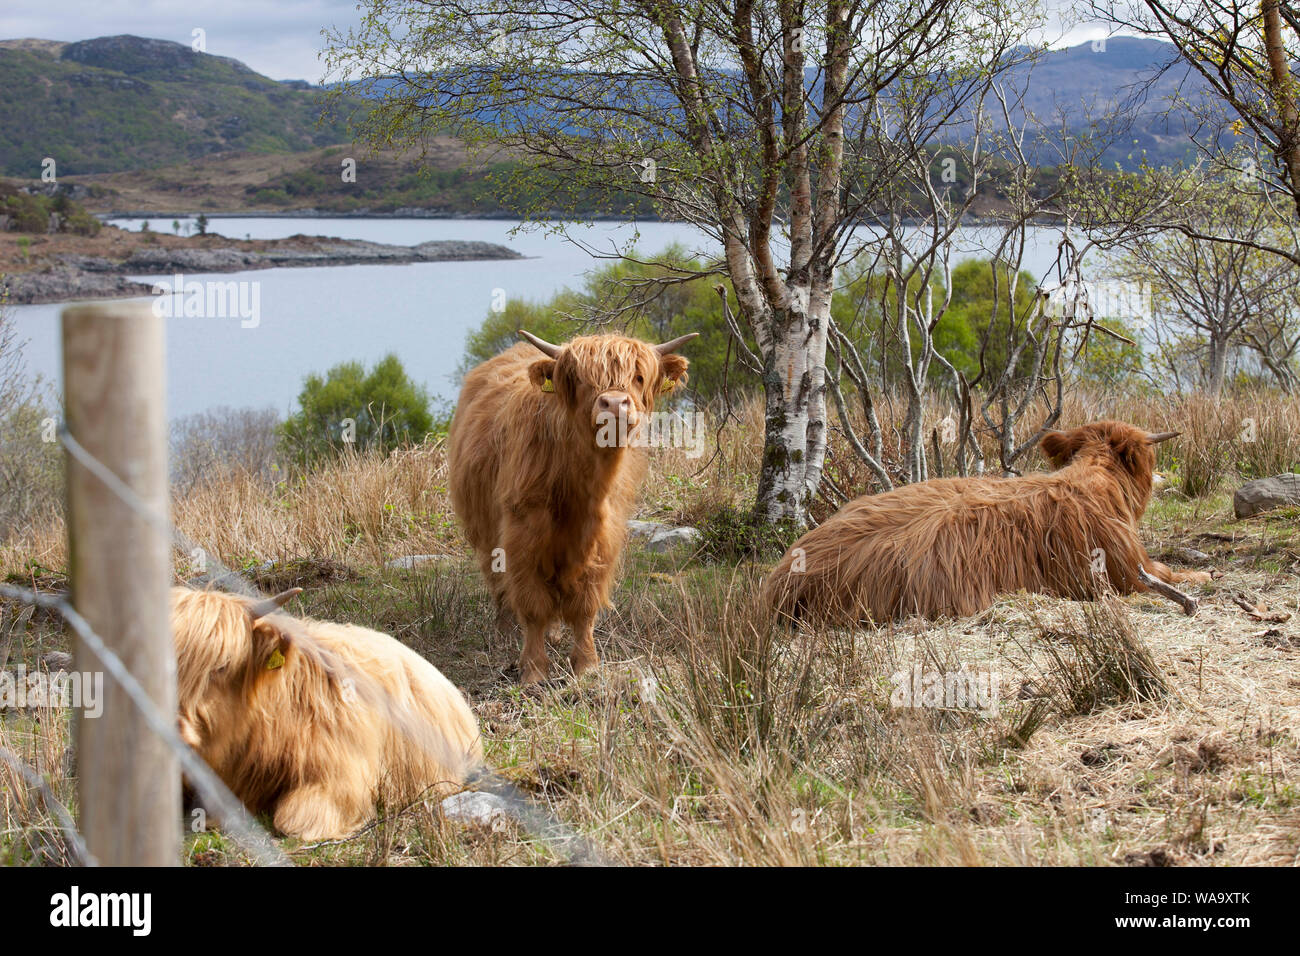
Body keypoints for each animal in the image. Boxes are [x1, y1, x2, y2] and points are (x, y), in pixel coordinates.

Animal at [447, 332, 691, 686]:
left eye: (638, 376)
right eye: (581, 380)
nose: (614, 403)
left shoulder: (604, 538)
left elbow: (585, 606)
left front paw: (586, 663)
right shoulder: (522, 533)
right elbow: (532, 604)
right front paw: (533, 670)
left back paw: (554, 634)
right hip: (484, 529)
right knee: (498, 582)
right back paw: (505, 631)